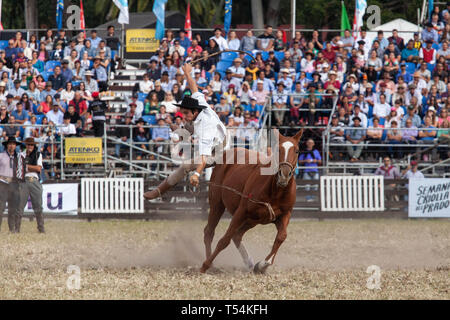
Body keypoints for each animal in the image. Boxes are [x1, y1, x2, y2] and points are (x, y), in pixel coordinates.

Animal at [200, 127, 302, 272]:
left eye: (297, 150)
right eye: (278, 149)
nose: (284, 174)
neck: (275, 191)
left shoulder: (284, 215)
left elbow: (281, 236)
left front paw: (263, 264)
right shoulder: (241, 212)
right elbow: (224, 240)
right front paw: (205, 265)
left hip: (253, 220)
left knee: (237, 235)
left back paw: (248, 262)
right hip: (217, 204)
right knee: (210, 232)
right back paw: (210, 264)